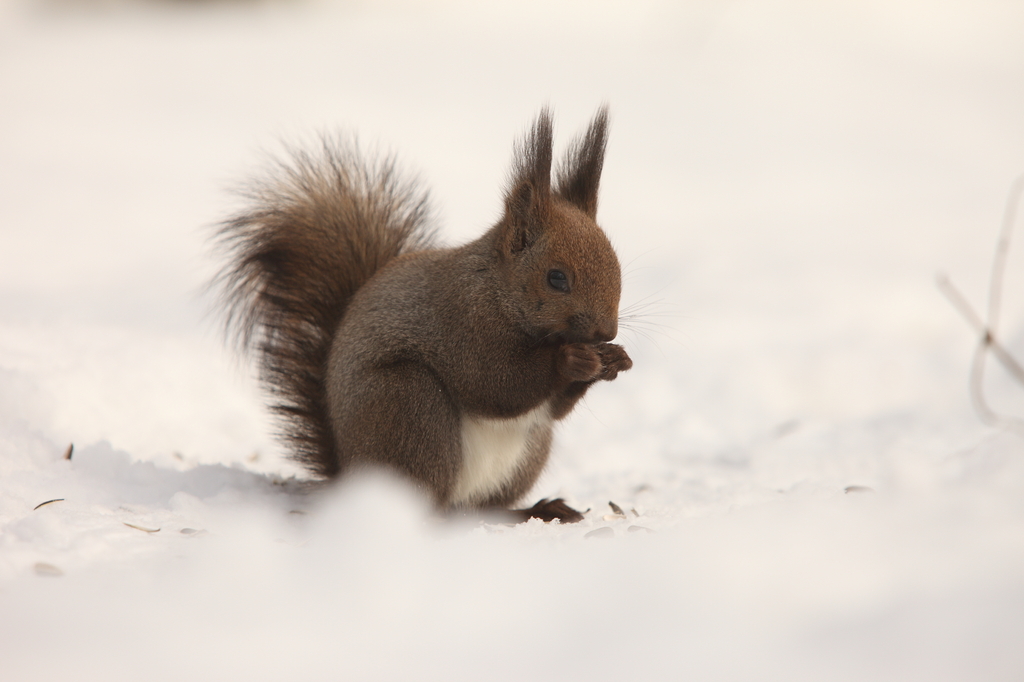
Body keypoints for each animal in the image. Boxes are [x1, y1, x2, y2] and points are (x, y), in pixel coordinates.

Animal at [211, 107, 630, 520]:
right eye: (556, 278)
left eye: (617, 267)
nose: (605, 333)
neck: (497, 290)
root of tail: (350, 476)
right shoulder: (463, 322)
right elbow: (497, 382)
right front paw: (572, 359)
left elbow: (552, 408)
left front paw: (615, 360)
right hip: (409, 405)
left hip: (527, 452)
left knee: (486, 507)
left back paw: (538, 510)